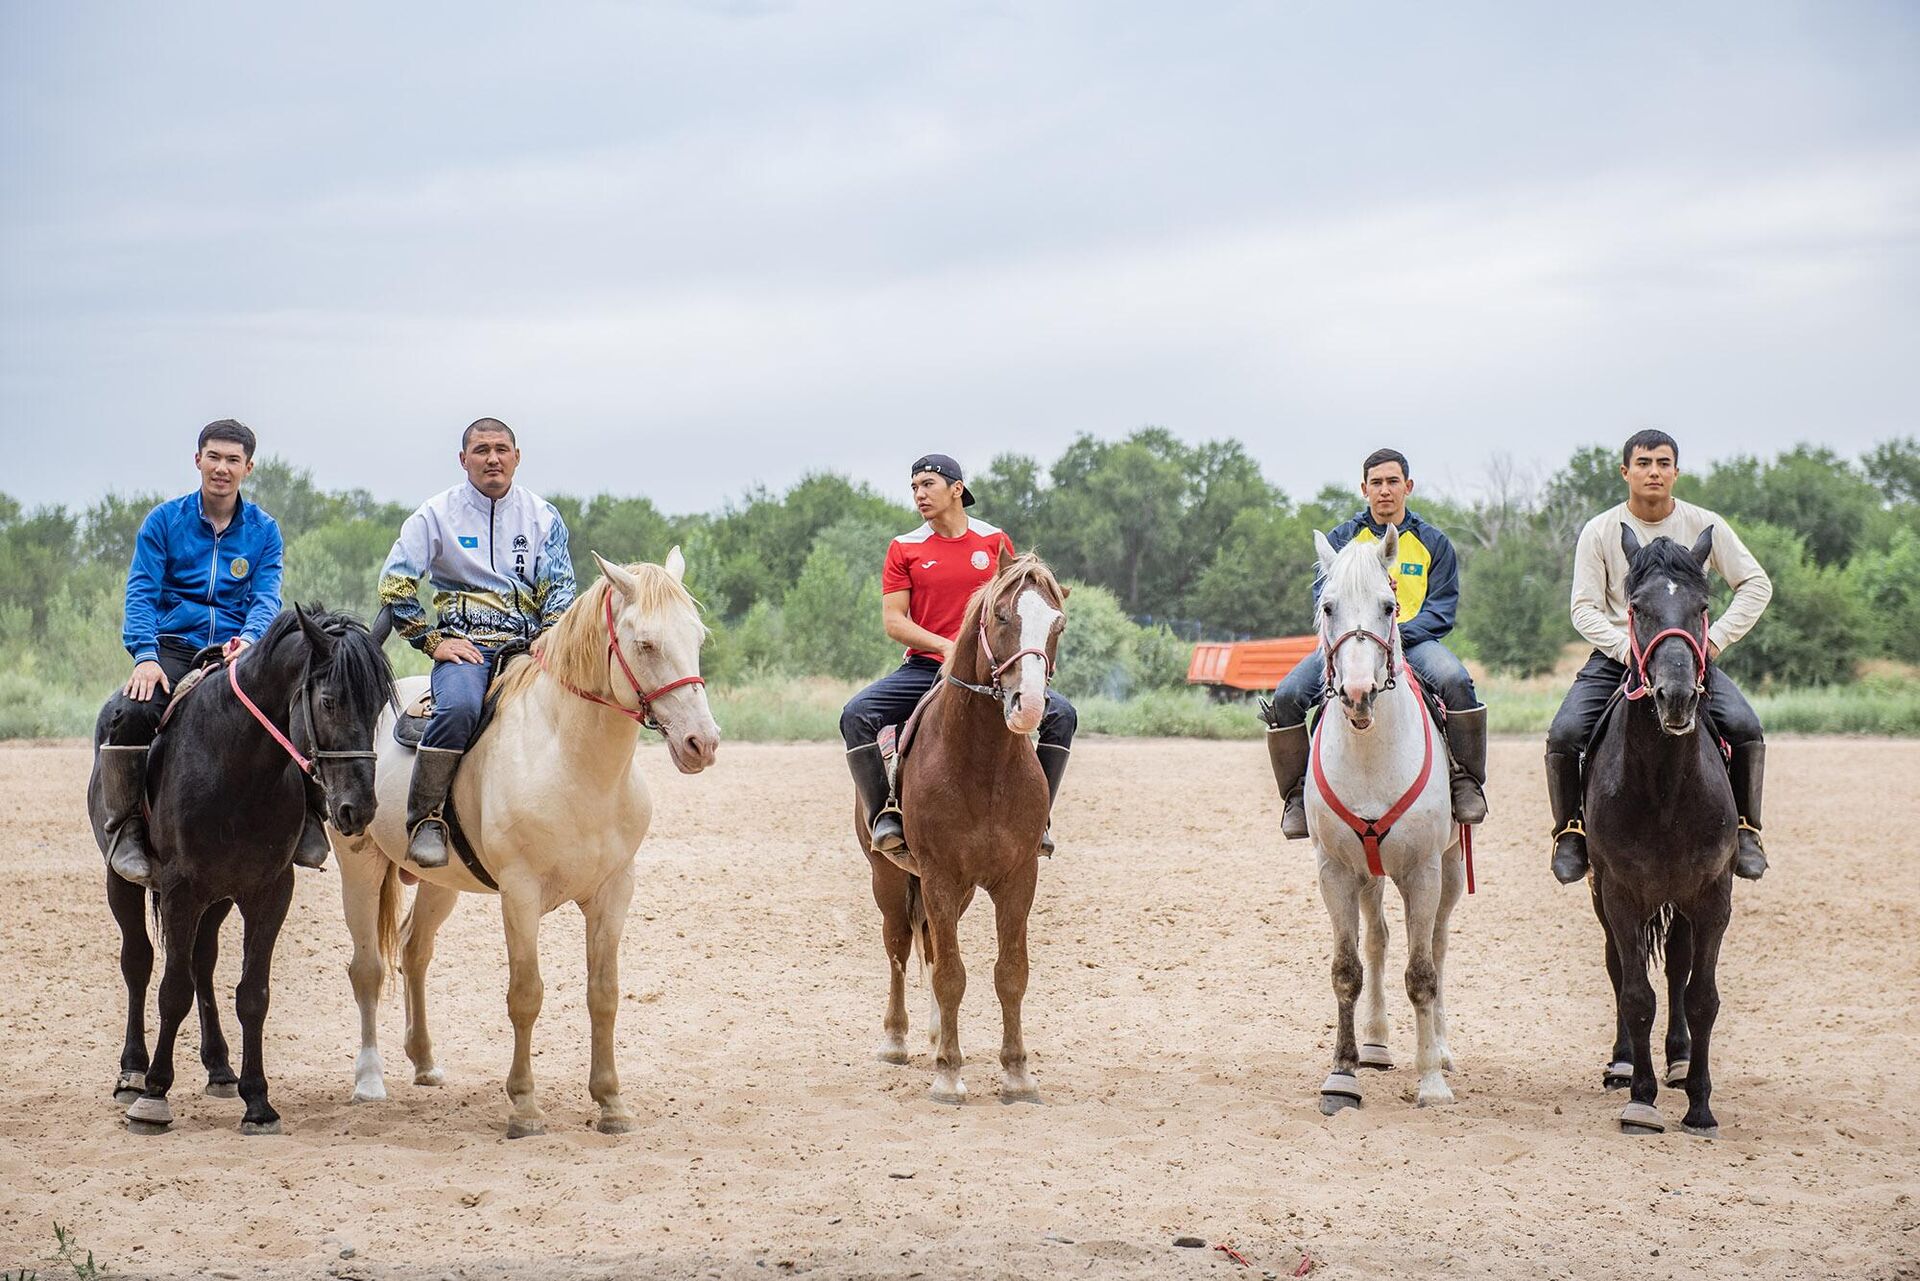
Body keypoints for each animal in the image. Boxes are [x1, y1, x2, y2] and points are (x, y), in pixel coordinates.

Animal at [87, 606, 393, 1136]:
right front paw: (154, 1096)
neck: (233, 763)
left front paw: (258, 1101)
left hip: (219, 898)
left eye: (376, 708)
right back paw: (132, 1072)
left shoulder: (268, 891)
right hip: (123, 882)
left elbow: (252, 994)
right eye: (329, 701)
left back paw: (220, 1068)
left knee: (202, 963)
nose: (358, 808)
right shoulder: (180, 889)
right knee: (139, 963)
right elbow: (171, 991)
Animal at [334, 545, 718, 1136]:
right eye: (646, 644)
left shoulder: (614, 891)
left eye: (695, 637)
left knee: (414, 951)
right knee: (368, 968)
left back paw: (424, 1062)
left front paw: (611, 1102)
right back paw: (370, 1080)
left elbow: (604, 995)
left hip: (439, 882)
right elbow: (525, 995)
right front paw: (524, 1106)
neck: (574, 763)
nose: (703, 743)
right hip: (358, 861)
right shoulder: (520, 894)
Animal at [864, 549, 1075, 1106]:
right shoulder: (938, 875)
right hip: (888, 876)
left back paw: (939, 1033)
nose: (1029, 705)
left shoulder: (1018, 879)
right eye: (1001, 615)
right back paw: (896, 1040)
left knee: (933, 946)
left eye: (1058, 623)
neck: (982, 765)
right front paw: (948, 1075)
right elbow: (952, 976)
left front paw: (1017, 1074)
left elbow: (1010, 973)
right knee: (899, 945)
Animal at [1305, 526, 1466, 1113]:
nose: (1357, 693)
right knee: (1377, 939)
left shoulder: (1422, 872)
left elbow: (1422, 975)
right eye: (1328, 606)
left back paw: (1440, 1049)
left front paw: (1431, 1082)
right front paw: (1342, 1075)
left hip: (1449, 871)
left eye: (1389, 606)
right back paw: (1375, 1044)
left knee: (1437, 946)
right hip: (1369, 876)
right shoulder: (1335, 872)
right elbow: (1346, 971)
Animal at [1574, 530, 1743, 1144]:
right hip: (1605, 896)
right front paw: (1642, 1102)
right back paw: (1626, 1065)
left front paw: (1699, 1104)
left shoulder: (1712, 897)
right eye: (1638, 608)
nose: (1676, 696)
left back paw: (1677, 1060)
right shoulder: (1621, 894)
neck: (1667, 787)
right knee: (1619, 967)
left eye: (1701, 607)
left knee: (1676, 967)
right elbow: (1635, 994)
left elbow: (1701, 997)